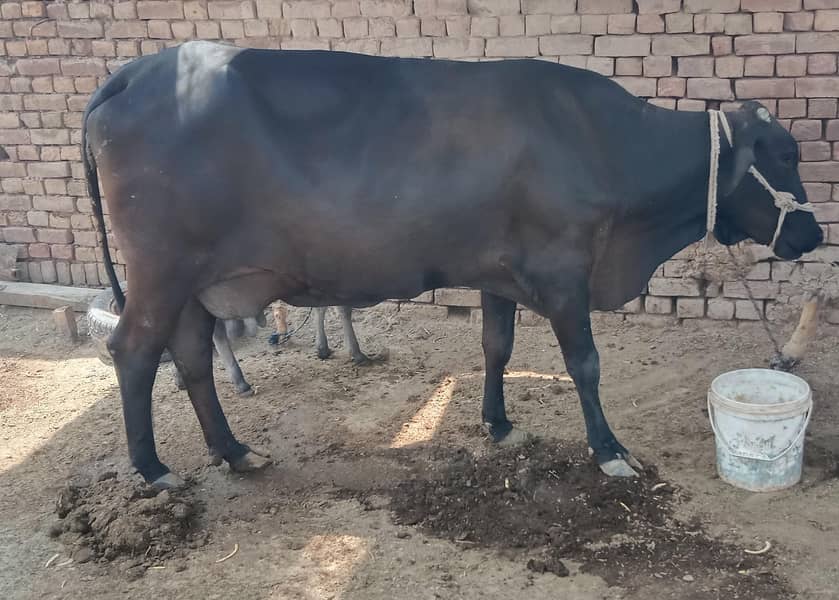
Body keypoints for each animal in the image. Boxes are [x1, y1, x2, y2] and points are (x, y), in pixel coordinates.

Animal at [82, 41, 823, 489]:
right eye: (785, 155)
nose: (813, 231)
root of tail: (138, 70)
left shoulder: (499, 272)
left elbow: (496, 346)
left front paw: (498, 424)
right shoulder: (563, 270)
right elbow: (584, 363)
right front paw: (609, 450)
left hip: (196, 284)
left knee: (191, 357)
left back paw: (235, 451)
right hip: (162, 271)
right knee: (134, 351)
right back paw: (153, 469)